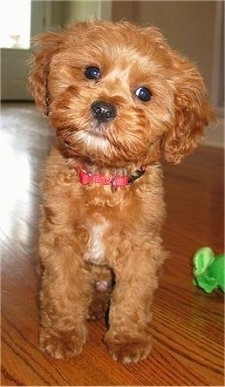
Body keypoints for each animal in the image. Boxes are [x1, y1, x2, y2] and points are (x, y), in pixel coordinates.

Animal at [28, 19, 214, 364]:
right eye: (91, 72)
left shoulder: (141, 248)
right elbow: (63, 289)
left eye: (144, 94)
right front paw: (63, 334)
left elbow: (132, 296)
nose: (103, 108)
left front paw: (128, 339)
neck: (102, 179)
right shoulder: (60, 242)